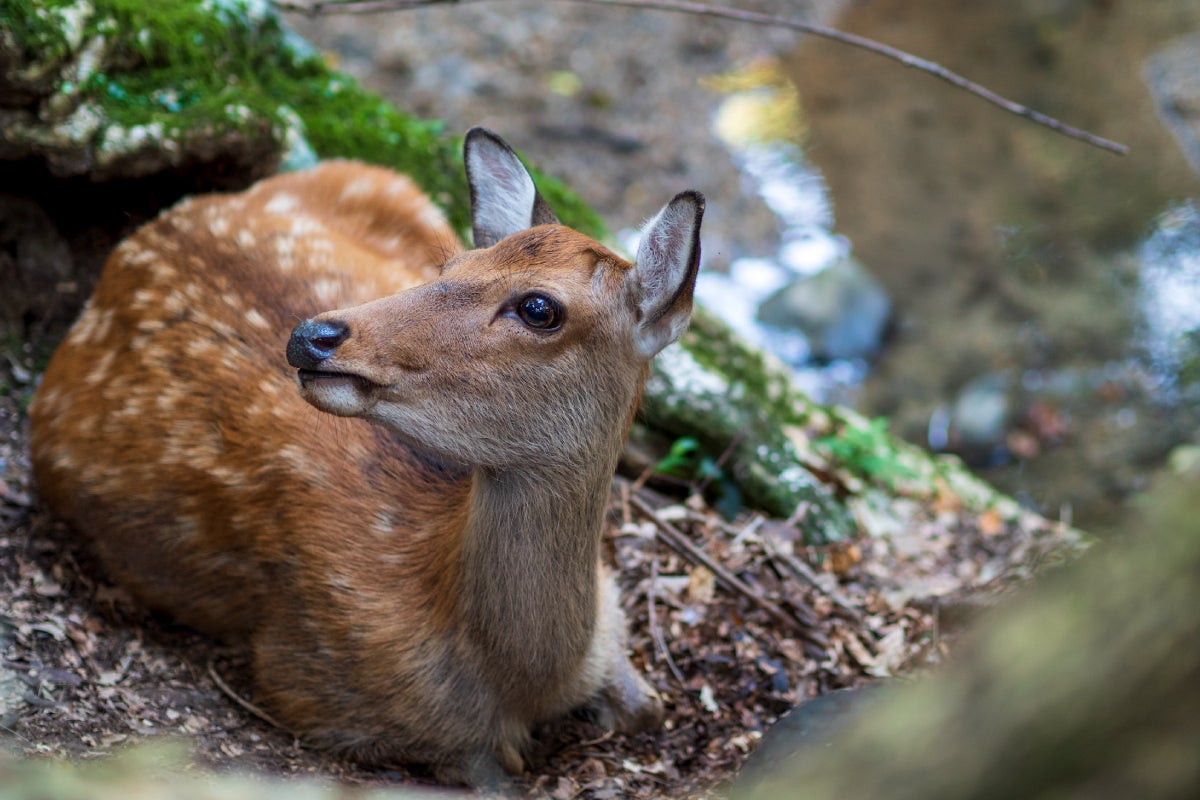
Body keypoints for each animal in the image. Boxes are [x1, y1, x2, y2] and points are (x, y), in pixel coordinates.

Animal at [28, 128, 704, 783]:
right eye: (452, 261)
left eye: (540, 307)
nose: (312, 336)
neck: (523, 678)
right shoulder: (317, 684)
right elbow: (498, 767)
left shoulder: (612, 615)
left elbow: (649, 709)